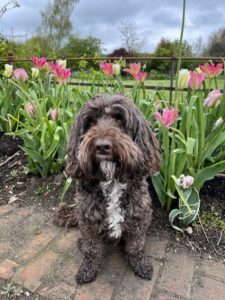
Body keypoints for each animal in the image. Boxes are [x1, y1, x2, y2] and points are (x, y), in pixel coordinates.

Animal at [53, 93, 161, 284]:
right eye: (90, 122)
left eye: (119, 119)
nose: (102, 146)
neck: (112, 180)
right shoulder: (87, 219)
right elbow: (92, 248)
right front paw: (88, 269)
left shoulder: (139, 216)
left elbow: (136, 246)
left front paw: (140, 264)